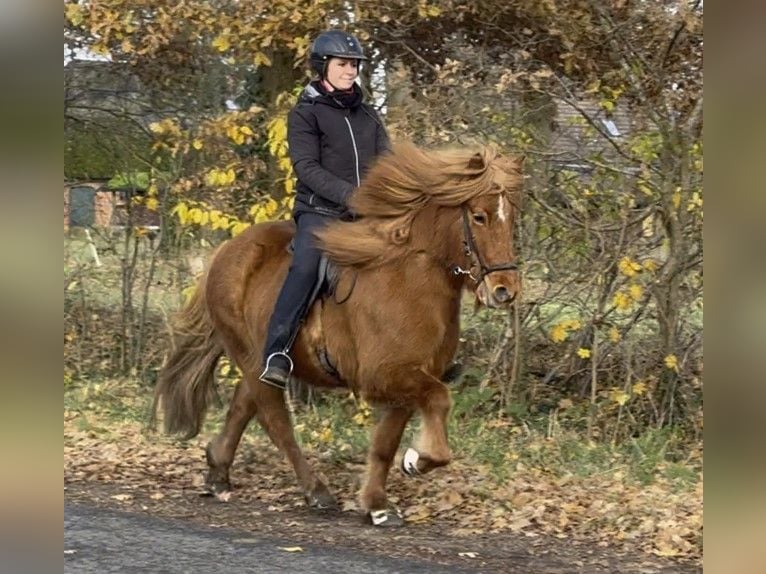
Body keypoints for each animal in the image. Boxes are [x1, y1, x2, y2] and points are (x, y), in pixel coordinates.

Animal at [153, 142, 524, 528]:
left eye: (511, 216)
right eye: (479, 217)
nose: (504, 290)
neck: (410, 281)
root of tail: (226, 252)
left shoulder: (411, 379)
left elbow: (385, 443)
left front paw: (378, 504)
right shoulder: (384, 376)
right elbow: (438, 401)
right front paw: (415, 461)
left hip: (255, 360)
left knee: (243, 405)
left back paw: (218, 471)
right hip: (249, 354)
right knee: (276, 422)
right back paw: (315, 491)